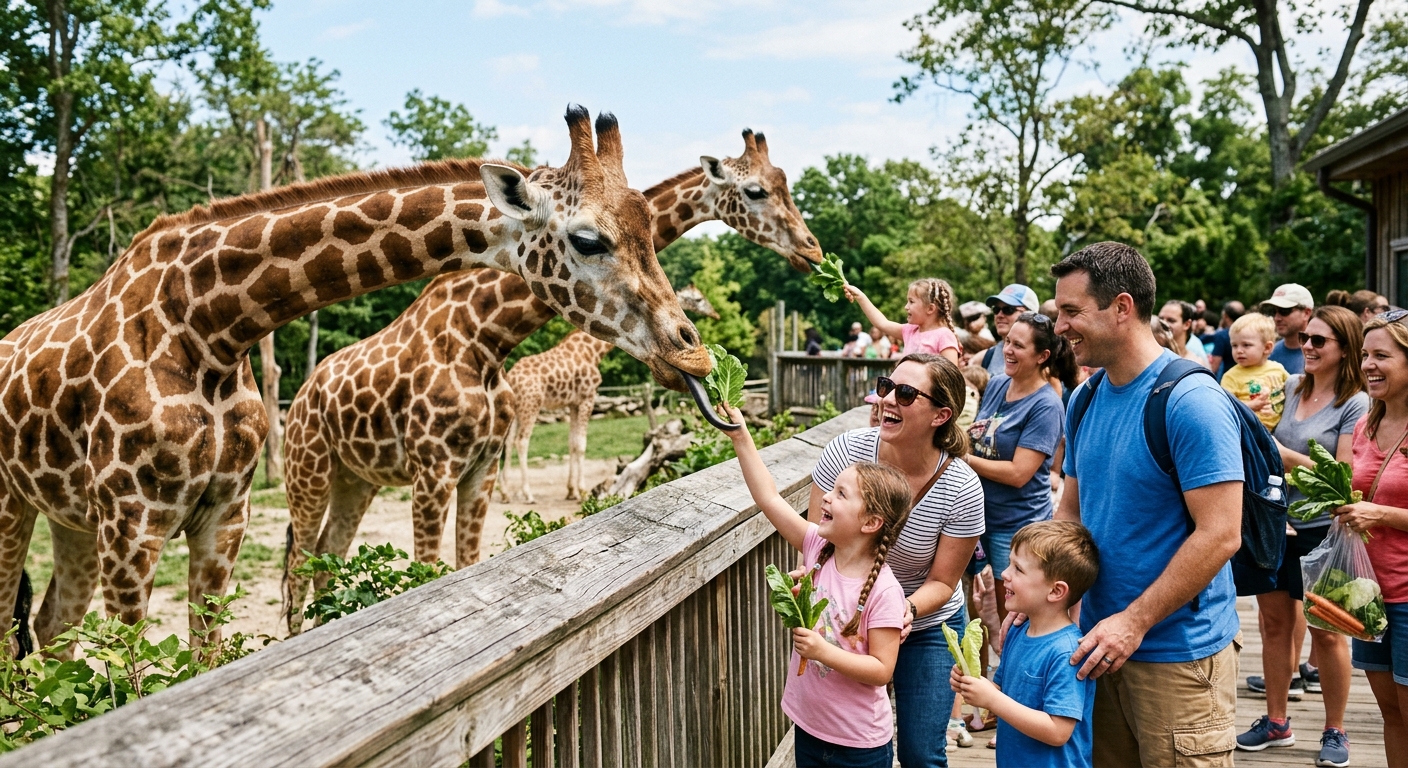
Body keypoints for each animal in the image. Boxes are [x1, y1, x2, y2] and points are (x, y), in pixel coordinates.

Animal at [0, 105, 714, 651]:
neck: (209, 325)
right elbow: (137, 672)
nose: (692, 355)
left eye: (647, 229)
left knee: (52, 623)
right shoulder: (135, 519)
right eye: (588, 240)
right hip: (37, 504)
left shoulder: (223, 516)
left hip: (86, 516)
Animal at [279, 130, 820, 633]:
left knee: (326, 562)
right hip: (309, 472)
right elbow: (427, 571)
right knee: (296, 571)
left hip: (356, 478)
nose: (812, 250)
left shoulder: (479, 463)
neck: (484, 334)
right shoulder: (434, 470)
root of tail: (300, 395)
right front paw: (573, 490)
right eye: (755, 191)